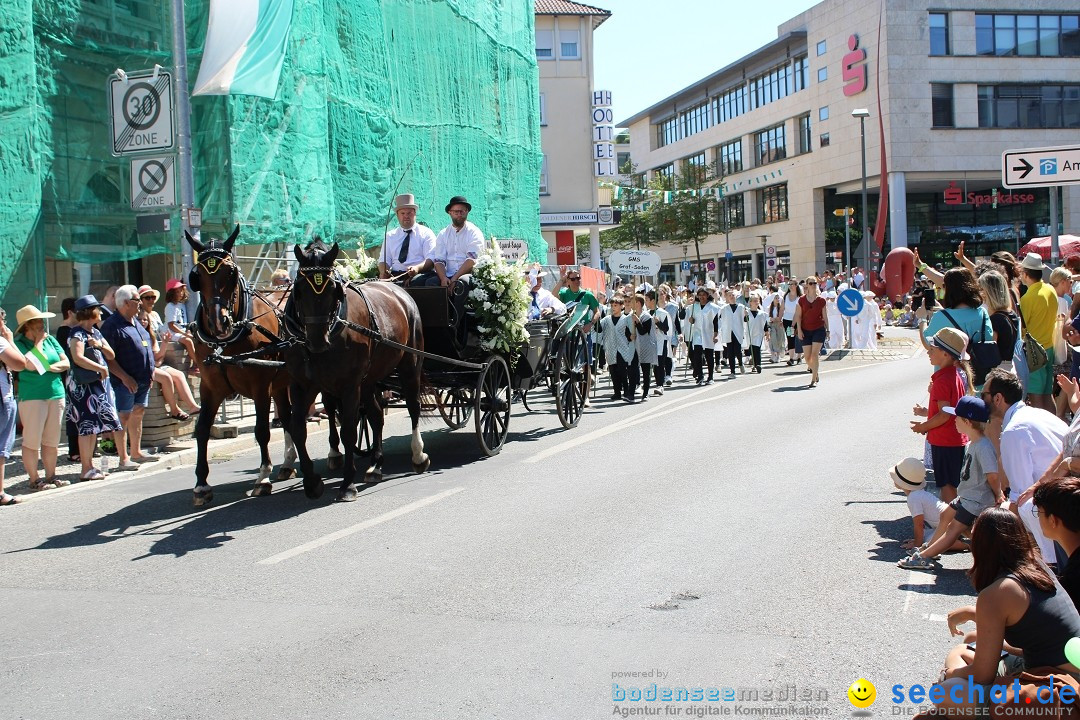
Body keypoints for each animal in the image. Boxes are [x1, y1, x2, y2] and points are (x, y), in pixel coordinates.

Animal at [184, 226, 295, 507]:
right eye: (197, 276)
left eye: (230, 272)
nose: (218, 322)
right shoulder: (210, 387)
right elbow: (202, 430)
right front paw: (201, 485)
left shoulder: (260, 386)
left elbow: (262, 430)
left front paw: (263, 478)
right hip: (283, 382)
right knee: (288, 417)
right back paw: (288, 463)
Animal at [287, 240, 429, 500]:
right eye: (299, 289)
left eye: (334, 289)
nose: (317, 340)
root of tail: (400, 291)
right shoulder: (302, 385)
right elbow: (297, 429)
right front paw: (312, 482)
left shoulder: (349, 385)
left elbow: (349, 431)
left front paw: (347, 484)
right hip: (369, 380)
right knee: (375, 415)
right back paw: (375, 465)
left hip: (410, 364)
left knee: (413, 406)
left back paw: (418, 455)